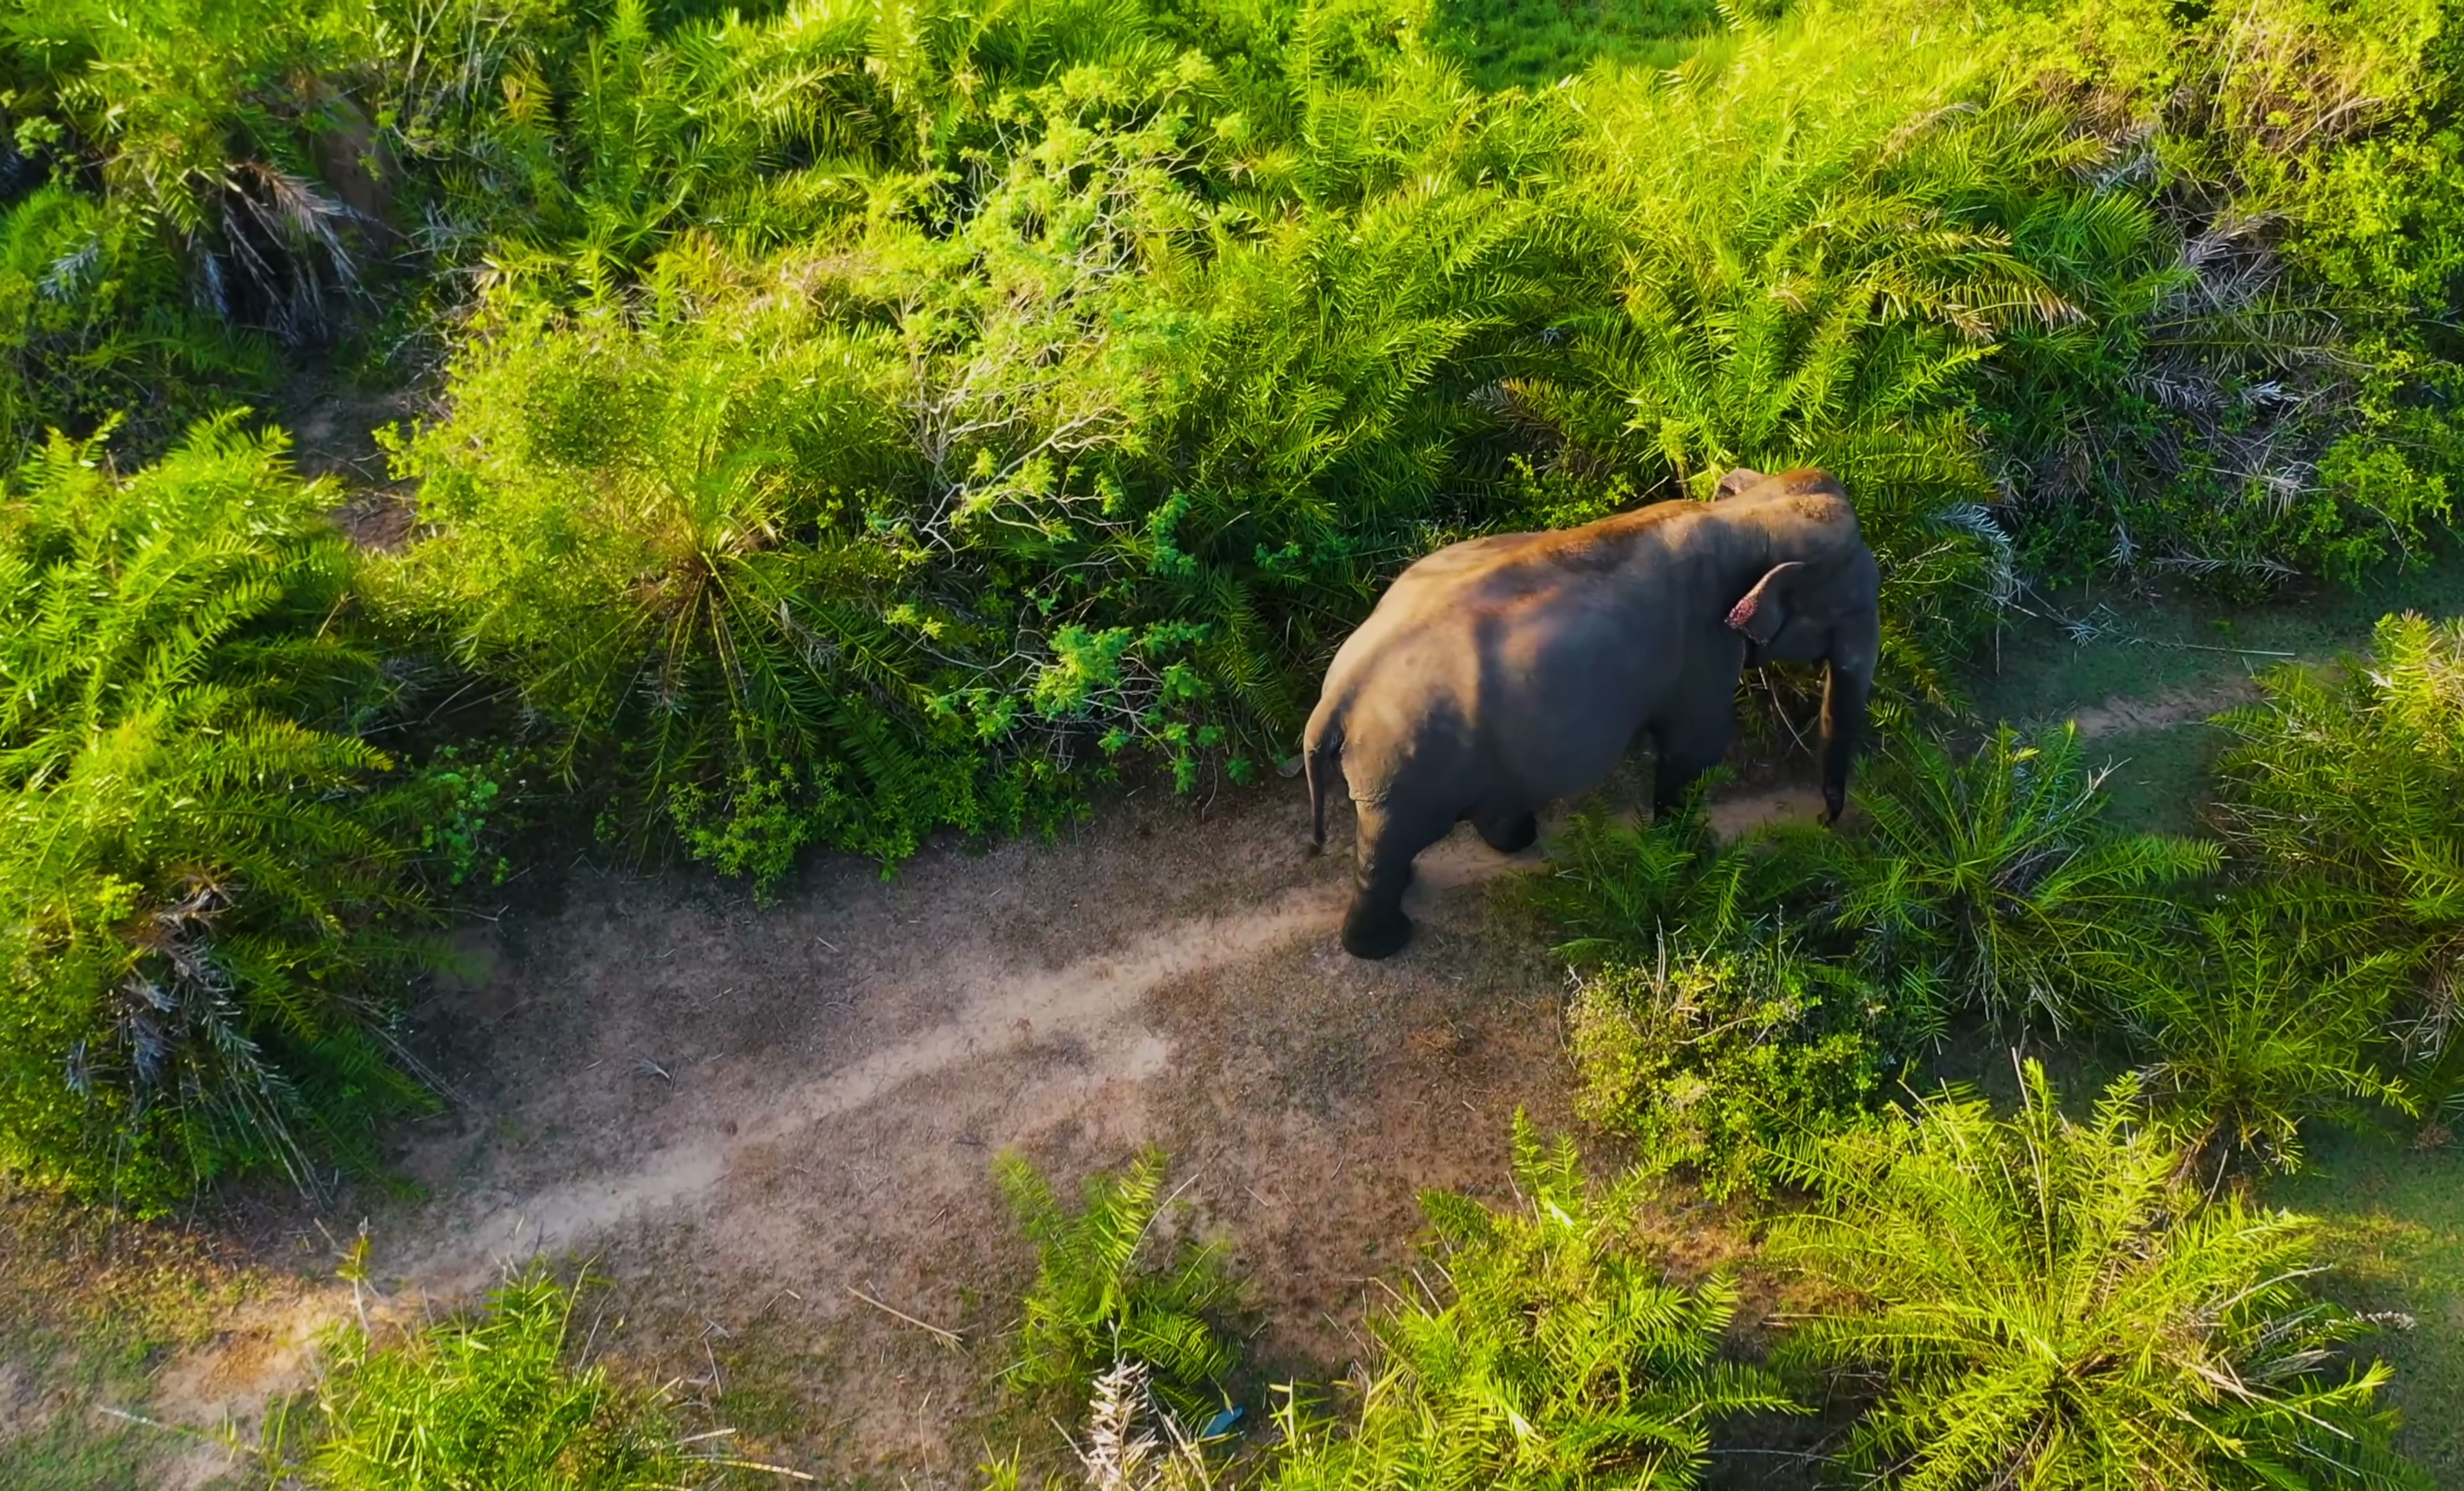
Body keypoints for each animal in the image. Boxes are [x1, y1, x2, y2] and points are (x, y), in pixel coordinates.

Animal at [1301, 467, 1880, 959]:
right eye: (1853, 607)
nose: (1824, 821)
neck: (1748, 515)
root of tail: (1336, 698)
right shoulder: (1704, 649)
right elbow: (1695, 749)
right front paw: (1691, 857)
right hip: (1408, 769)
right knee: (1391, 842)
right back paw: (1386, 942)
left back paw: (1510, 841)